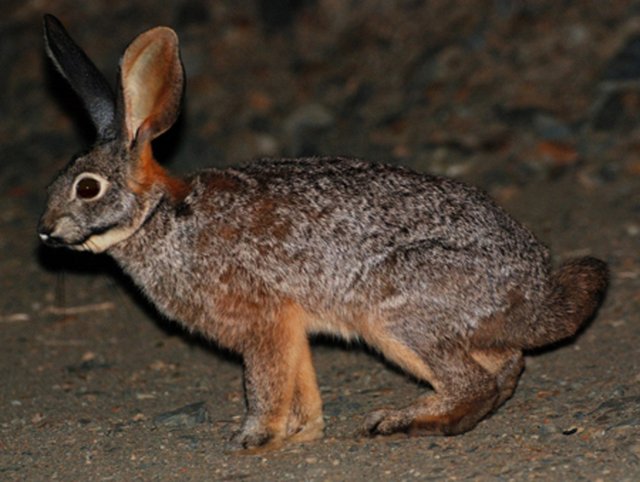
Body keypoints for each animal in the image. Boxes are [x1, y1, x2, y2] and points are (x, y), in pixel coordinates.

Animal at [38, 14, 608, 450]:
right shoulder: (290, 326)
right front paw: (301, 433)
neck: (160, 214)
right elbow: (301, 382)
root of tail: (535, 295)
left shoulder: (264, 320)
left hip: (398, 311)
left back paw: (405, 421)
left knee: (475, 383)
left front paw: (254, 439)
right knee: (505, 366)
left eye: (87, 188)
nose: (45, 231)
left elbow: (265, 383)